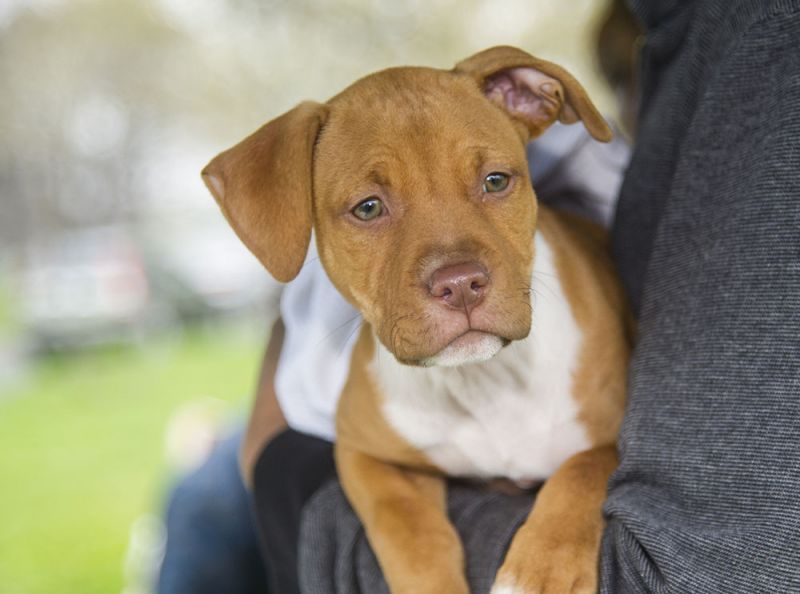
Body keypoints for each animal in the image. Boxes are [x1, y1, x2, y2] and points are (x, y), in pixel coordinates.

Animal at [205, 46, 632, 592]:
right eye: (368, 208)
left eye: (496, 181)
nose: (461, 284)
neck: (482, 382)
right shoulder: (365, 454)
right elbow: (407, 526)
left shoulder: (616, 437)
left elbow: (585, 469)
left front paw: (541, 571)